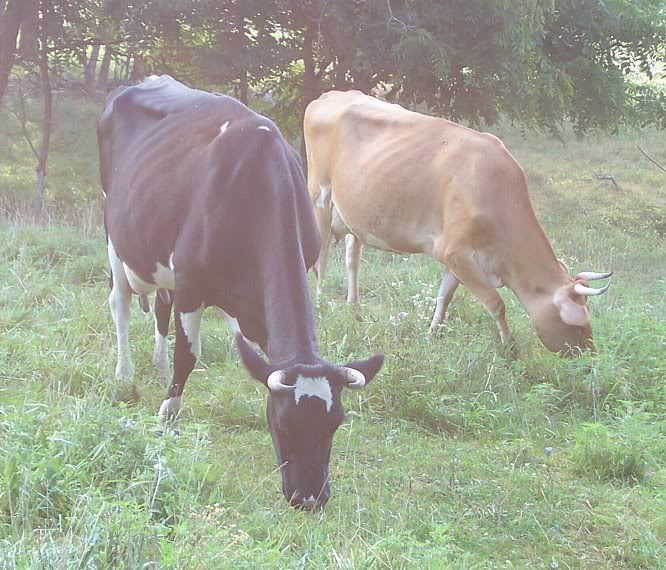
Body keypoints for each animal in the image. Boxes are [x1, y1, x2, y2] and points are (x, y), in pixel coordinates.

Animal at [98, 76, 384, 510]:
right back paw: (124, 374)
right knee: (122, 305)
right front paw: (168, 414)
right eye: (282, 425)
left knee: (160, 306)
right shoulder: (191, 286)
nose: (310, 498)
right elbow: (189, 356)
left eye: (335, 424)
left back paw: (156, 365)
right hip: (115, 228)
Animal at [304, 90, 612, 356]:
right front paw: (510, 348)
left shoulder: (454, 258)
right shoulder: (454, 252)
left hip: (353, 214)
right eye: (578, 326)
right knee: (320, 258)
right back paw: (319, 306)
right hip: (319, 198)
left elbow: (444, 297)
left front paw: (432, 336)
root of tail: (330, 95)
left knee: (351, 258)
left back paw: (355, 312)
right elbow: (496, 302)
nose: (590, 356)